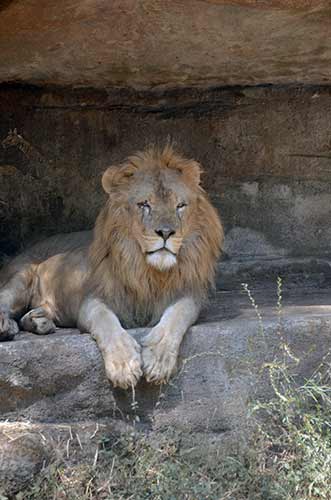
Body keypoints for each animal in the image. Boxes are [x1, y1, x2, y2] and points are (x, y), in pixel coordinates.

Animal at [0, 146, 224, 388]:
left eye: (180, 206)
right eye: (145, 205)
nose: (166, 232)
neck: (149, 272)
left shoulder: (190, 293)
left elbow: (177, 316)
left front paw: (158, 359)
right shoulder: (93, 299)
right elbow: (105, 321)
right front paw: (124, 364)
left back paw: (39, 320)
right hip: (21, 276)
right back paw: (7, 325)